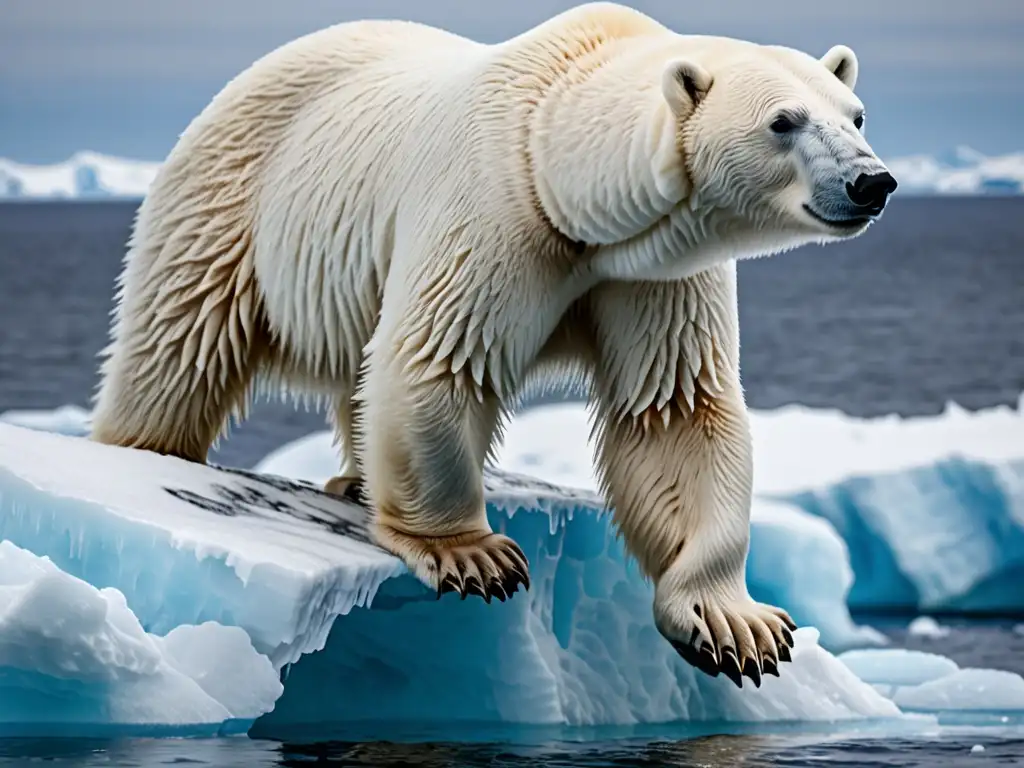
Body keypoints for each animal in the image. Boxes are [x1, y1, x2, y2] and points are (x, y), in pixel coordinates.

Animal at [90, 3, 897, 688]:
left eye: (855, 113)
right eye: (783, 121)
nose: (874, 180)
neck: (561, 171)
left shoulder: (655, 272)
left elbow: (675, 409)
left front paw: (735, 624)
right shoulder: (494, 212)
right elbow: (437, 360)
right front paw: (471, 554)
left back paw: (354, 483)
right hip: (232, 198)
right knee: (178, 341)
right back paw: (148, 449)